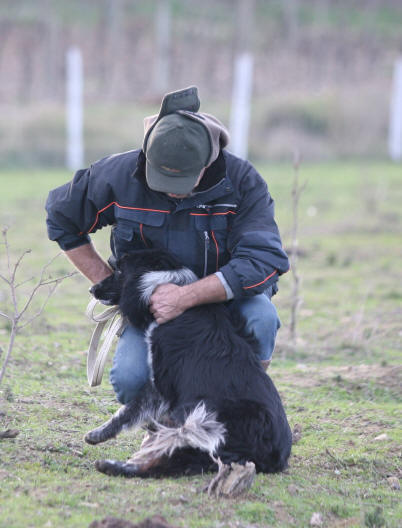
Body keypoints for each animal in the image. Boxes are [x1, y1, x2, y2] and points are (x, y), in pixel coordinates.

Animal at [86, 249, 290, 478]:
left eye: (119, 271)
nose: (92, 289)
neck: (163, 282)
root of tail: (273, 458)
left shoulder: (162, 385)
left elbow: (129, 409)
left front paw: (99, 433)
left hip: (202, 420)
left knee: (168, 462)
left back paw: (113, 466)